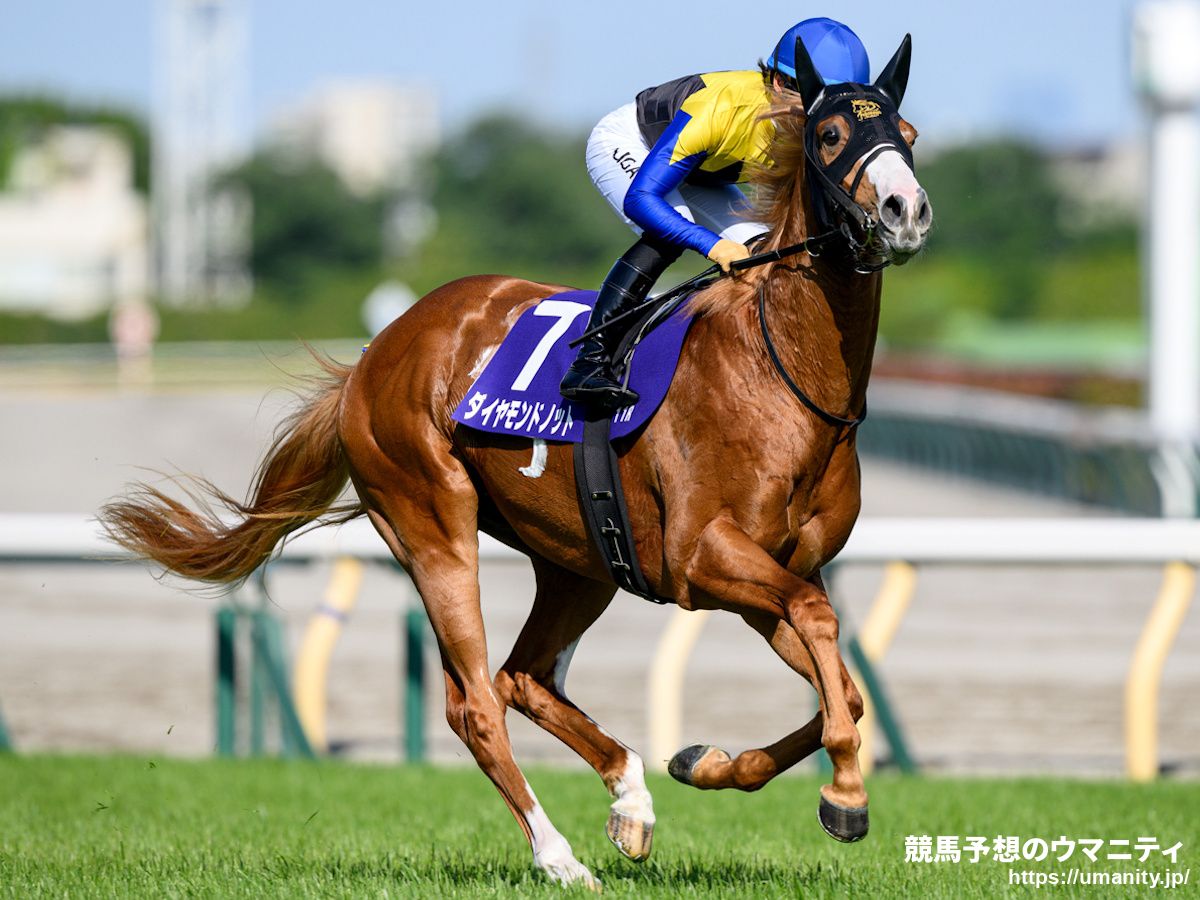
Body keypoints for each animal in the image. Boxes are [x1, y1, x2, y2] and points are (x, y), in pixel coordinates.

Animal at [100, 35, 931, 889]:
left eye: (907, 132)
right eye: (830, 135)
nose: (906, 211)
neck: (783, 373)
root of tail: (375, 354)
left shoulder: (775, 571)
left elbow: (841, 687)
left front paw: (707, 762)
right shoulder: (704, 558)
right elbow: (822, 631)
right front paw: (845, 794)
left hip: (580, 559)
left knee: (521, 676)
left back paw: (631, 802)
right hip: (431, 522)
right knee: (474, 702)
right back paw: (560, 858)